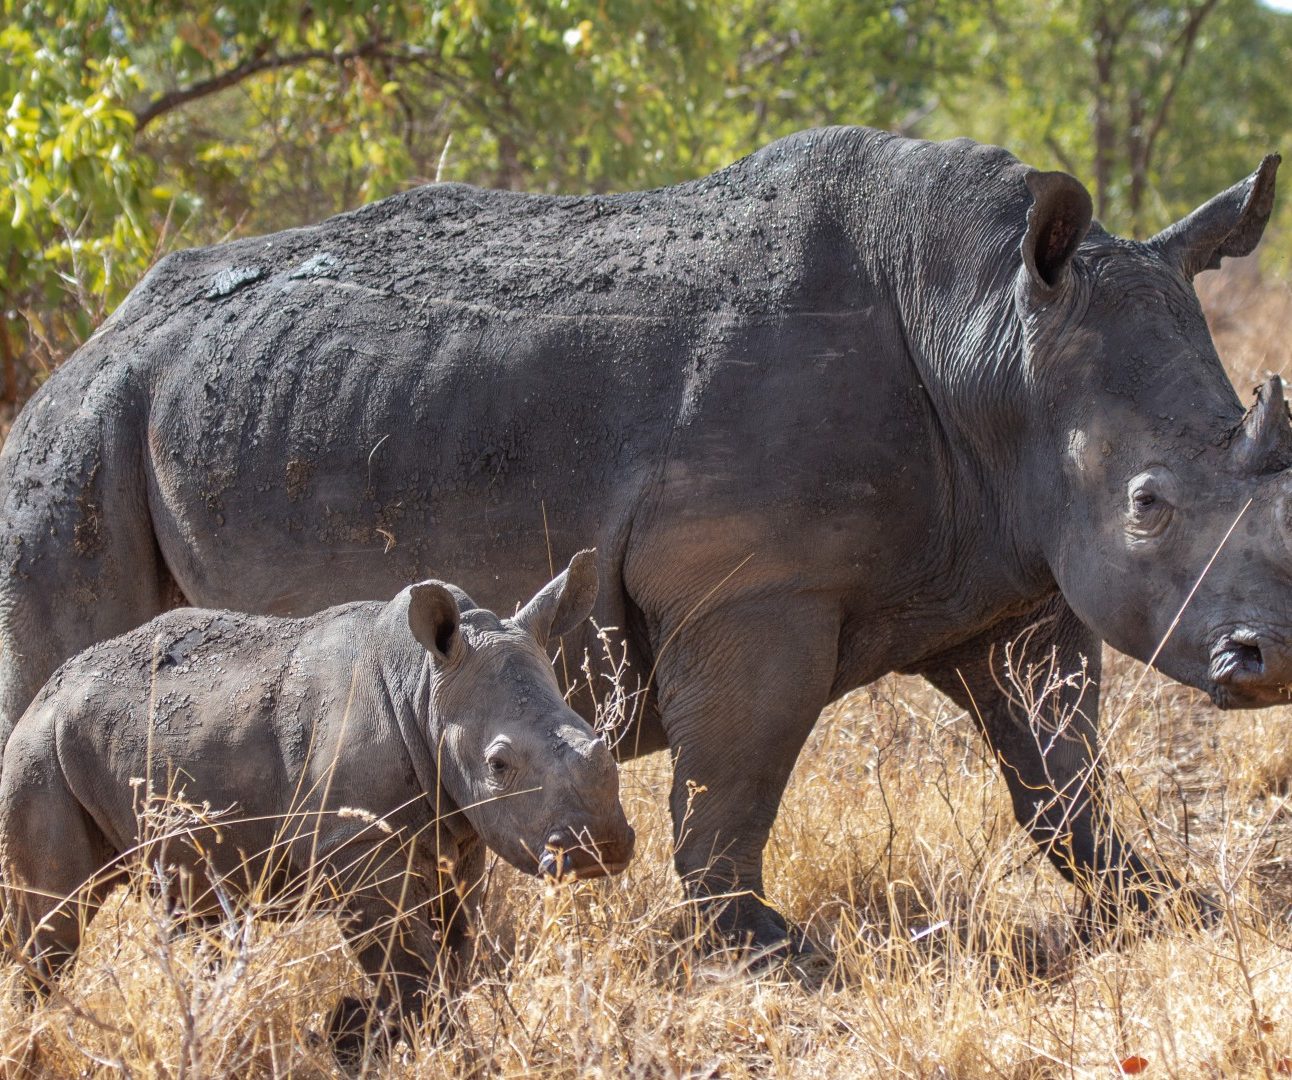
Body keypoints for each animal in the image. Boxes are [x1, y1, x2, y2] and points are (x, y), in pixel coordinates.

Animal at [0, 124, 1281, 955]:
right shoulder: (750, 588)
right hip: (75, 443)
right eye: (1148, 502)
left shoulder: (1009, 576)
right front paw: (763, 948)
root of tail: (92, 342)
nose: (1264, 660)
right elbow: (736, 775)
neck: (988, 336)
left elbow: (1057, 769)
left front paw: (1161, 908)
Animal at [0, 547, 630, 1043]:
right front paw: (428, 1044)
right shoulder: (354, 849)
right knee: (54, 925)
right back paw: (36, 1025)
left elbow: (457, 948)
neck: (425, 688)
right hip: (38, 752)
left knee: (194, 910)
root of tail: (44, 693)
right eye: (498, 765)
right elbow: (410, 966)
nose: (600, 846)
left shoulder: (461, 832)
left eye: (597, 737)